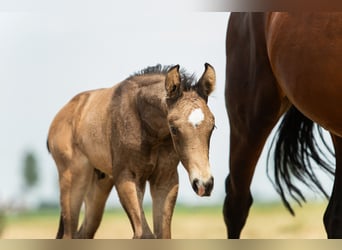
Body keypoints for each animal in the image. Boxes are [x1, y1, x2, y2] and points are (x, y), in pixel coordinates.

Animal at [47, 63, 216, 238]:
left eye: (212, 127)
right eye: (174, 129)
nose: (204, 184)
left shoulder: (165, 179)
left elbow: (163, 234)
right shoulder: (126, 177)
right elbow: (144, 234)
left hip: (99, 184)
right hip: (73, 179)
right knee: (69, 233)